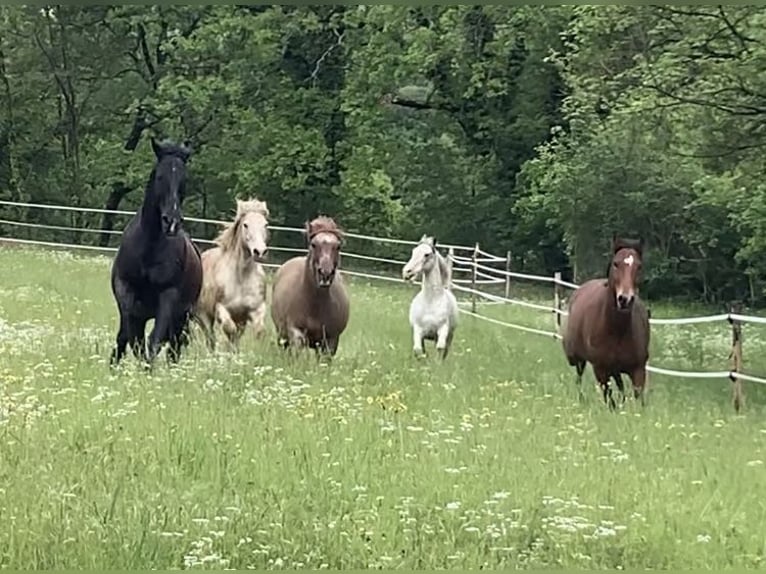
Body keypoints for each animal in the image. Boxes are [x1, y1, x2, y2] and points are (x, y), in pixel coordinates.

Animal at [109, 137, 203, 367]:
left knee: (173, 347)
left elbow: (153, 341)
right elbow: (128, 336)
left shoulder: (168, 296)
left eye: (184, 179)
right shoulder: (125, 291)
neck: (149, 246)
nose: (171, 222)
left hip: (181, 318)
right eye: (160, 176)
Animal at [193, 198, 270, 351]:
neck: (241, 277)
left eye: (265, 224)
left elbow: (258, 331)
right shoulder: (221, 309)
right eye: (245, 225)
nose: (259, 252)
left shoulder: (256, 309)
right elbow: (230, 330)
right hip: (204, 316)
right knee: (210, 338)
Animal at [270, 215, 349, 357]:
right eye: (313, 244)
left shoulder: (331, 341)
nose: (325, 274)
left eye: (338, 246)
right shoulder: (296, 333)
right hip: (282, 335)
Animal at [561, 235, 650, 409]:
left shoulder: (638, 370)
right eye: (616, 263)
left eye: (639, 266)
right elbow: (610, 401)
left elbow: (638, 400)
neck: (617, 330)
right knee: (579, 379)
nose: (625, 299)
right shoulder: (601, 370)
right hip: (578, 360)